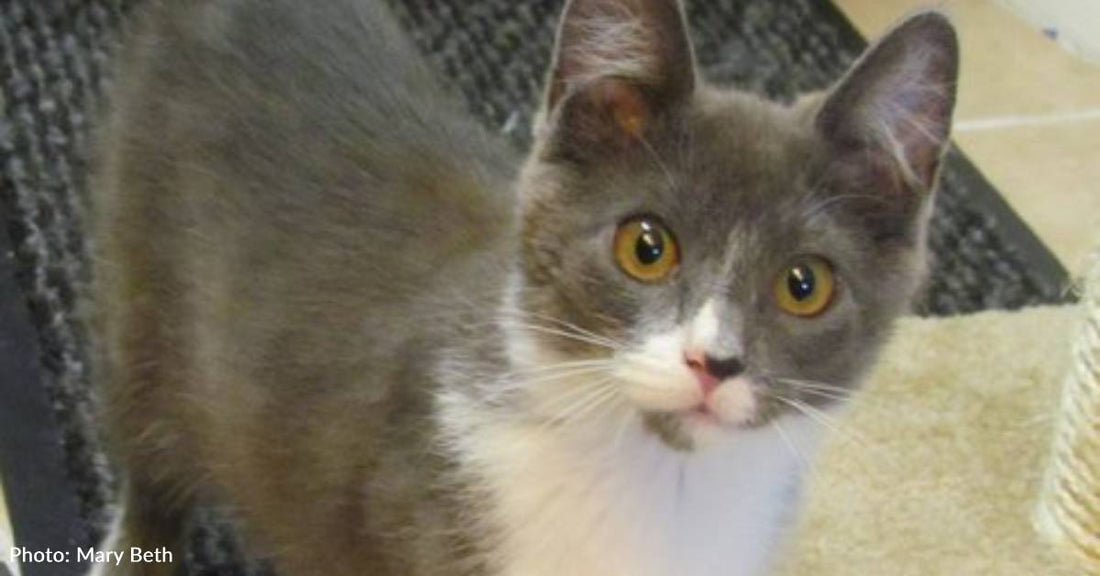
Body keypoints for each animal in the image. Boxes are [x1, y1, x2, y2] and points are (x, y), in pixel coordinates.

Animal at [92, 1, 954, 576]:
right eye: (646, 247)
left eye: (804, 285)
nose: (714, 362)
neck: (659, 484)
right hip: (143, 269)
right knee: (150, 444)